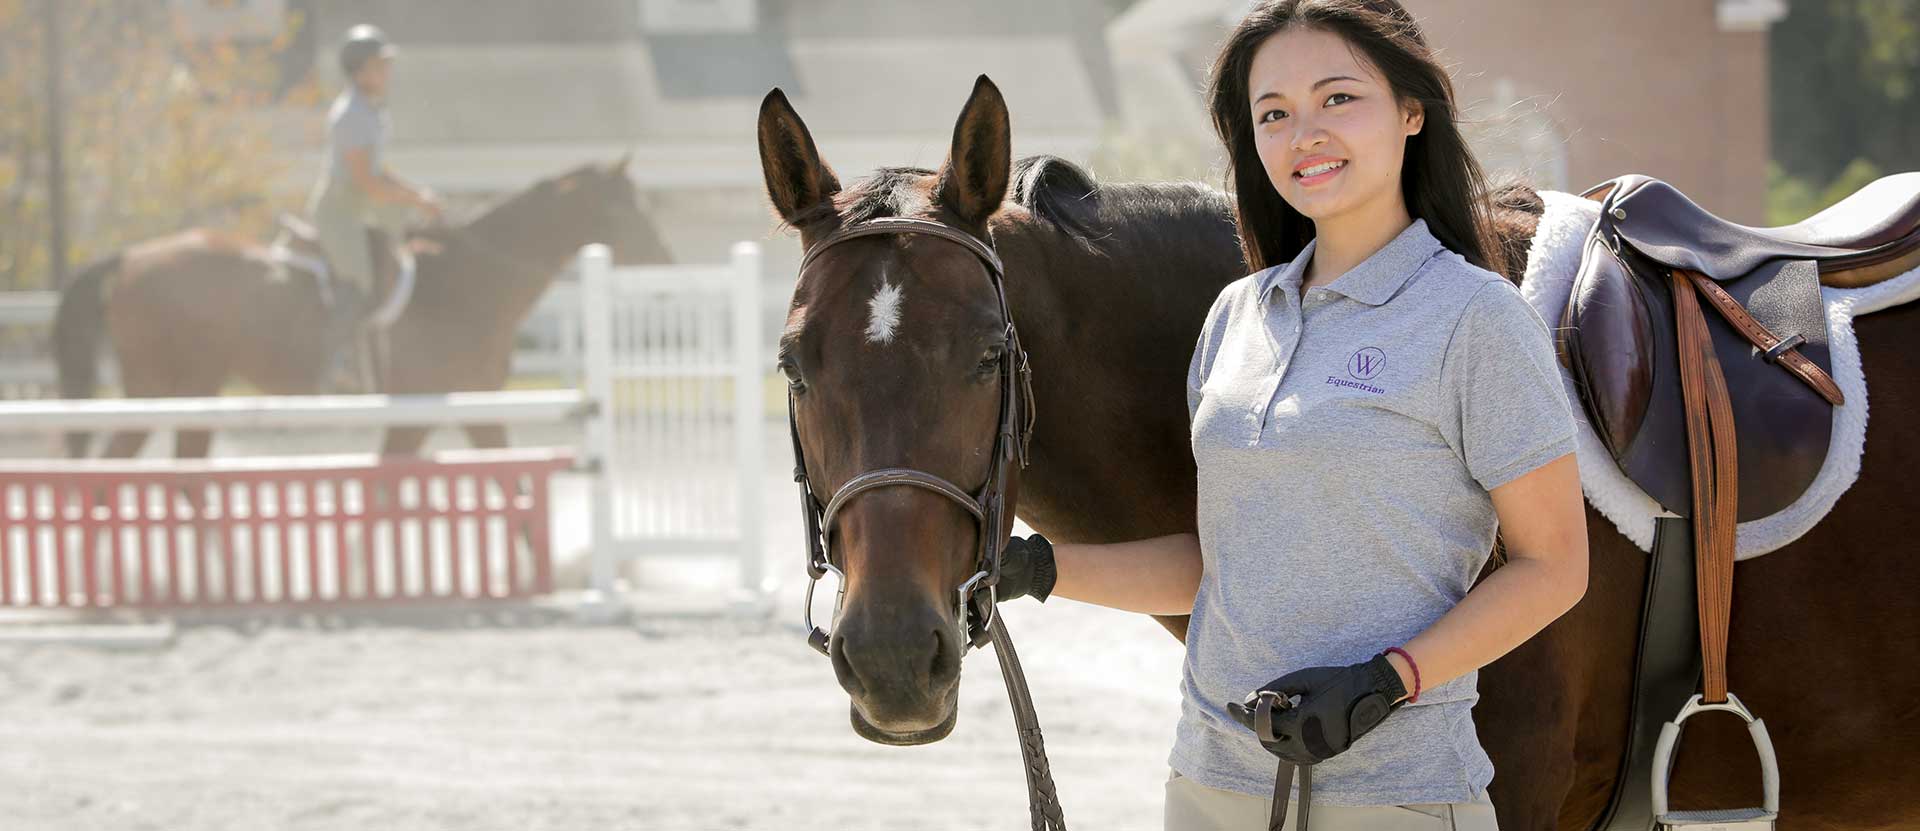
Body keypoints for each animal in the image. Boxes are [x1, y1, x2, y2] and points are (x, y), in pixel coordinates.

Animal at [48, 158, 660, 456]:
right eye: (620, 208)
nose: (665, 257)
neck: (465, 284)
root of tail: (131, 256)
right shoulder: (418, 410)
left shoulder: (473, 405)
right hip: (166, 389)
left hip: (196, 392)